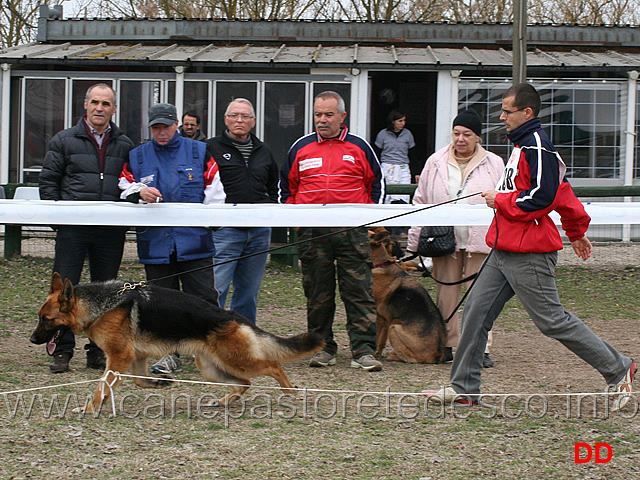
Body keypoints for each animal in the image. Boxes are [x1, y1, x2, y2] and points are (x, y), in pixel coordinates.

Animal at [30, 274, 322, 412]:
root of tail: (233, 316)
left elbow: (101, 387)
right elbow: (139, 381)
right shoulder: (134, 358)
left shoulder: (119, 357)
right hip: (212, 368)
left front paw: (90, 409)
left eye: (46, 320)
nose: (33, 339)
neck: (101, 305)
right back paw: (223, 401)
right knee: (246, 383)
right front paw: (161, 382)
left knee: (273, 365)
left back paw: (290, 391)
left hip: (237, 361)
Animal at [368, 227, 448, 362]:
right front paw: (377, 353)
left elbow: (377, 338)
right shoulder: (385, 321)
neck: (382, 264)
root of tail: (436, 356)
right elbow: (381, 341)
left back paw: (393, 355)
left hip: (394, 327)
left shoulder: (380, 319)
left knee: (409, 358)